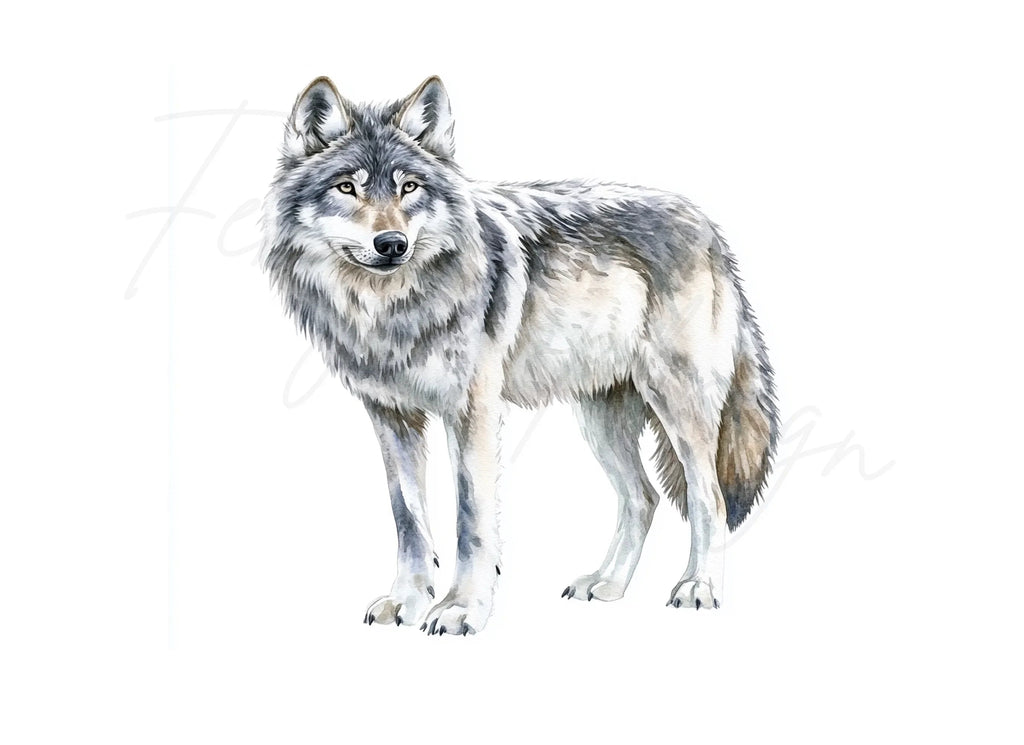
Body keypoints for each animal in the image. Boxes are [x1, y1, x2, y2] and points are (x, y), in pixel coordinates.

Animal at [260, 76, 779, 636]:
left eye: (409, 188)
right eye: (346, 188)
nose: (392, 243)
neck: (390, 308)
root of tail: (708, 228)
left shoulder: (473, 412)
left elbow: (471, 520)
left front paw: (462, 608)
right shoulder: (391, 415)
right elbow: (409, 519)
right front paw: (407, 601)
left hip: (679, 406)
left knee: (709, 499)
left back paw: (698, 587)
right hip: (599, 419)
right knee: (643, 497)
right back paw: (607, 584)